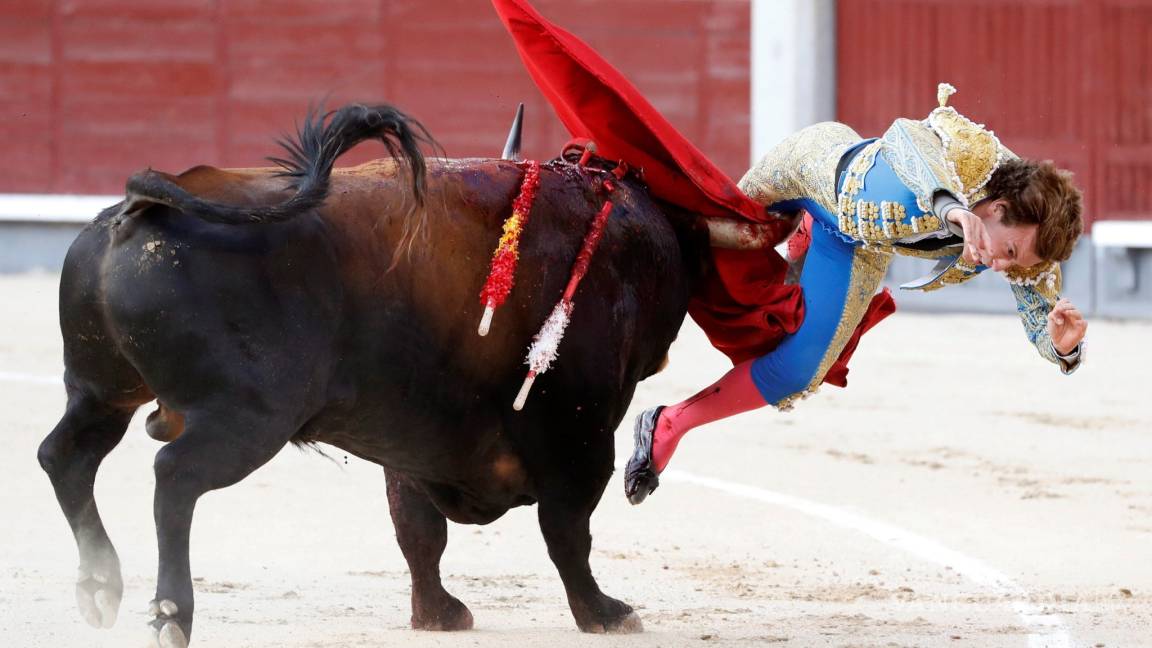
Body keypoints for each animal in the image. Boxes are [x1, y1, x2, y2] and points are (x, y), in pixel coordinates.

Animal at [40, 103, 732, 641]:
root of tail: (142, 204)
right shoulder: (578, 435)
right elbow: (566, 531)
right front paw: (605, 614)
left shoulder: (410, 441)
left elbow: (418, 531)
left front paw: (438, 615)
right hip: (247, 419)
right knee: (175, 475)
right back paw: (169, 614)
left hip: (101, 390)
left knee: (65, 454)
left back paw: (99, 587)